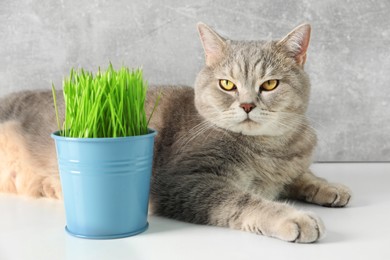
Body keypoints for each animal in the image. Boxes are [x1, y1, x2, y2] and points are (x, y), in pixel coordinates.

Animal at [0, 22, 352, 244]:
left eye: (270, 84)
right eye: (227, 84)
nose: (247, 105)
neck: (270, 147)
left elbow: (304, 176)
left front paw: (330, 187)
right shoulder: (183, 181)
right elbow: (244, 200)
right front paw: (293, 218)